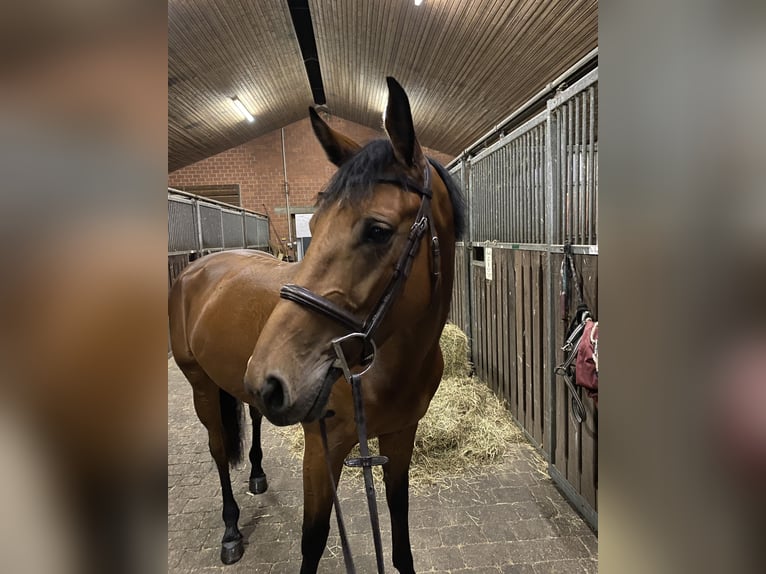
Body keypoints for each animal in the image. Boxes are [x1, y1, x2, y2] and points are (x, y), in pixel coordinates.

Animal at [169, 77, 464, 574]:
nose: (270, 377)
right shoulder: (322, 448)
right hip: (202, 386)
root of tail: (198, 267)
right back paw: (230, 530)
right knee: (217, 448)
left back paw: (257, 474)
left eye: (378, 230)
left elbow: (399, 528)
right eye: (316, 221)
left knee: (253, 416)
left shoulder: (401, 435)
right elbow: (314, 537)